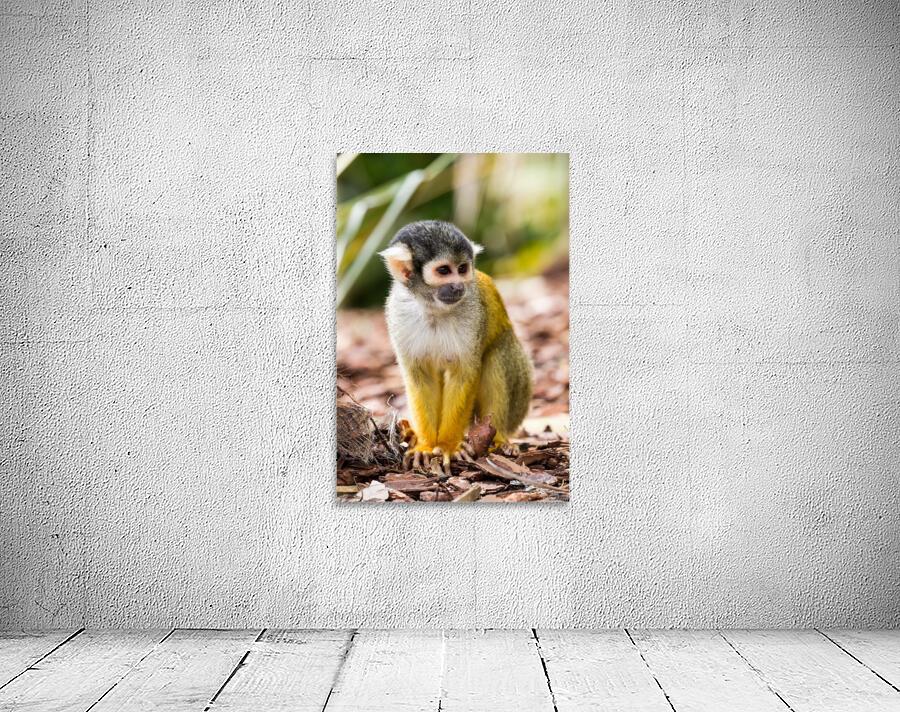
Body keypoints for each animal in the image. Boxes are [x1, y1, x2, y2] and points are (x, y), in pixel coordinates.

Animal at [379, 220, 532, 474]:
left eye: (462, 268)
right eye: (444, 271)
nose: (458, 286)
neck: (433, 308)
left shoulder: (473, 313)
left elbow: (464, 373)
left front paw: (448, 446)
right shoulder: (398, 312)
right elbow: (421, 377)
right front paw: (426, 445)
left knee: (497, 354)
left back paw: (499, 440)